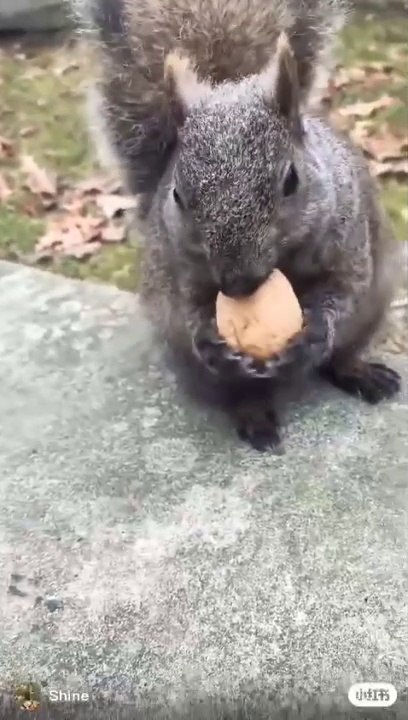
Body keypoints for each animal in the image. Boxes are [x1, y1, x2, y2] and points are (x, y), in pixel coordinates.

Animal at [76, 0, 402, 451]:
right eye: (178, 195)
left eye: (291, 181)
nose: (236, 285)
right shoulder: (182, 270)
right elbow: (192, 310)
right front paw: (212, 343)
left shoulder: (350, 242)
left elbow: (343, 292)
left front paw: (314, 333)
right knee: (240, 394)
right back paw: (256, 419)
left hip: (376, 305)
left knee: (343, 356)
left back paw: (361, 373)